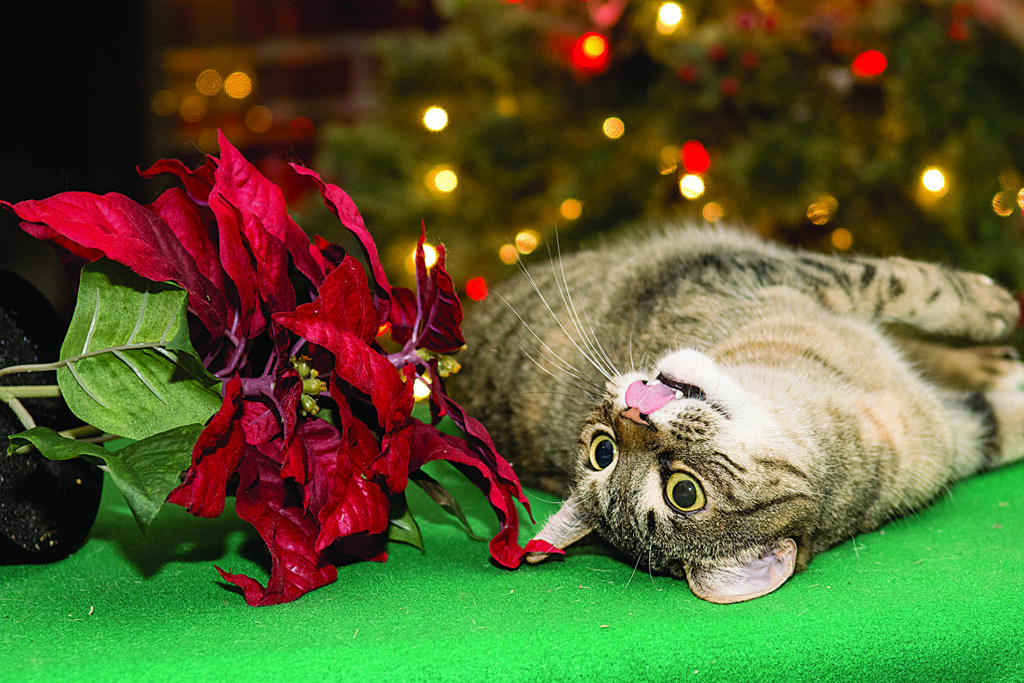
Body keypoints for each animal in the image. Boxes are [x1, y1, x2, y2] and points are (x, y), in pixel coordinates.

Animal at [452, 225, 1024, 602]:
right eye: (684, 493)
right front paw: (994, 306)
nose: (633, 418)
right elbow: (904, 281)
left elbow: (904, 291)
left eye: (601, 451)